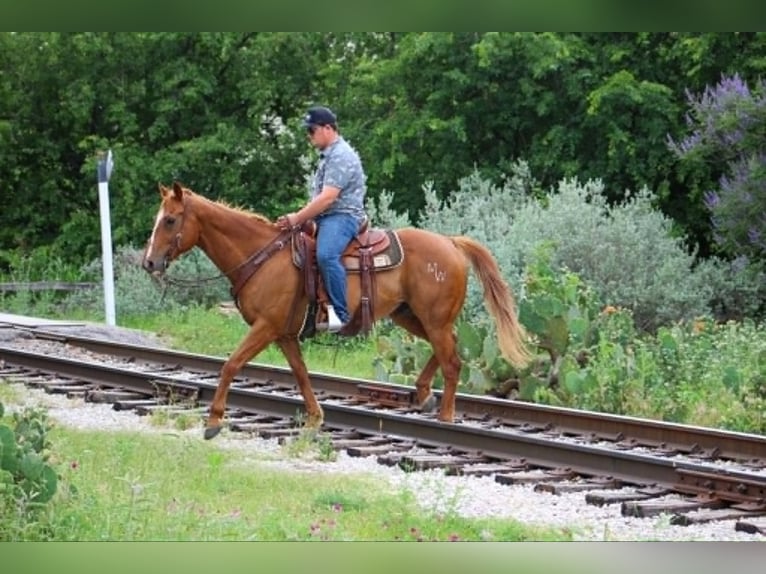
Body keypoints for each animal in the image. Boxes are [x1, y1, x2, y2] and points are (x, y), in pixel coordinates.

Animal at [142, 181, 530, 440]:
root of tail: (450, 243)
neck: (262, 255)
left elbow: (231, 365)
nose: (149, 262)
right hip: (410, 316)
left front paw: (213, 422)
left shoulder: (265, 327)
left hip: (431, 318)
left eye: (171, 220)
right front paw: (315, 418)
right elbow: (300, 374)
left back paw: (446, 417)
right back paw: (423, 394)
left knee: (451, 361)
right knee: (450, 347)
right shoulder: (284, 334)